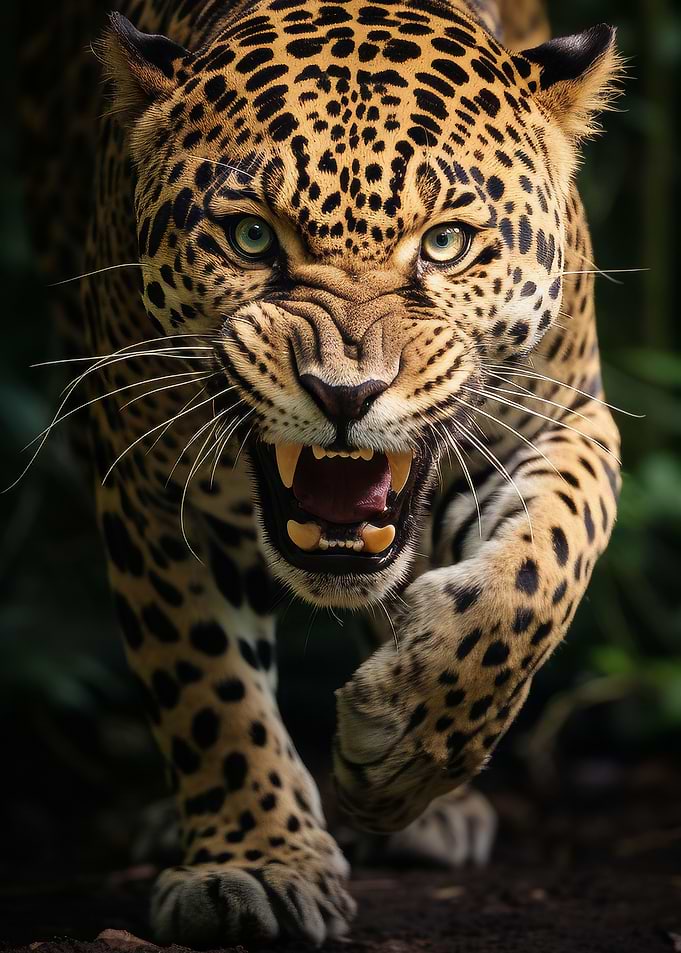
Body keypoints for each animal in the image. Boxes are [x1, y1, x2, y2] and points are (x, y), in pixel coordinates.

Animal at [16, 0, 624, 945]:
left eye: (445, 244)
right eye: (250, 236)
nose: (346, 393)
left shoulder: (563, 416)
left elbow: (531, 582)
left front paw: (404, 742)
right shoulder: (148, 476)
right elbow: (206, 681)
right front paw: (252, 863)